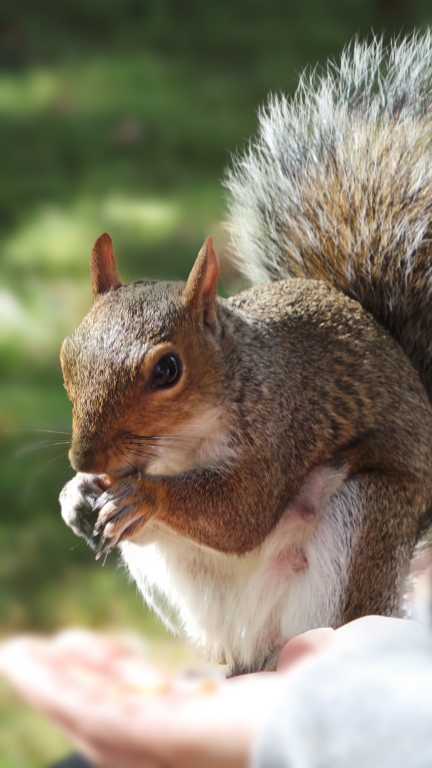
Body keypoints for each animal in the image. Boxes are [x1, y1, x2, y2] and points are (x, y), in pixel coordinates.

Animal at [60, 34, 432, 675]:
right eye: (67, 356)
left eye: (168, 369)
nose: (86, 459)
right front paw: (76, 495)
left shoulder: (284, 424)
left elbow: (242, 514)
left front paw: (147, 496)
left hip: (364, 516)